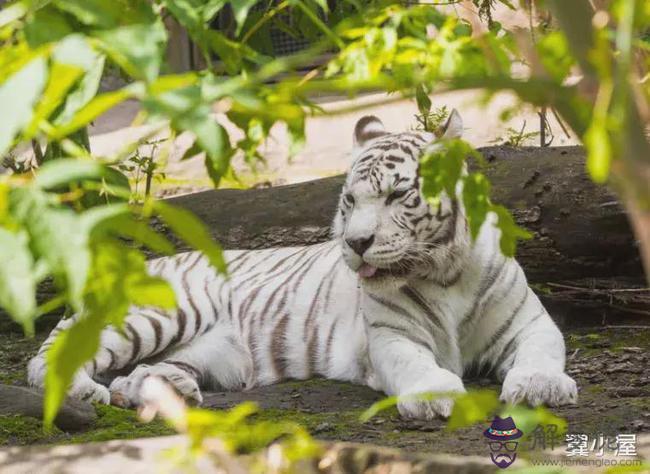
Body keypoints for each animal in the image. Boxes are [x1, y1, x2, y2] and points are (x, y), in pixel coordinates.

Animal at [29, 111, 576, 418]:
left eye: (397, 195)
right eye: (350, 201)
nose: (356, 243)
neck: (443, 273)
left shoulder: (529, 321)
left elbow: (544, 350)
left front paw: (540, 386)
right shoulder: (392, 336)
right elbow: (415, 363)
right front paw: (435, 395)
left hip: (209, 352)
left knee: (140, 370)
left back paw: (167, 391)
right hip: (158, 316)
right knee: (47, 360)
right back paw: (89, 394)